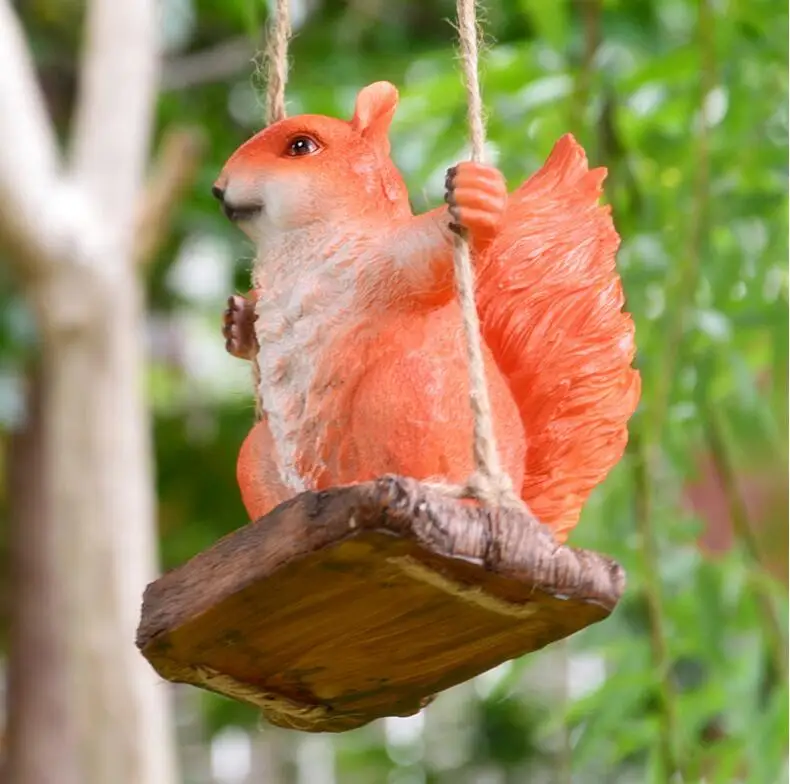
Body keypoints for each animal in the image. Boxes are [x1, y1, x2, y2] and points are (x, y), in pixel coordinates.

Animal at [214, 81, 640, 544]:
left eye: (301, 146)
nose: (218, 188)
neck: (298, 247)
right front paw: (238, 325)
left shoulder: (391, 262)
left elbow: (431, 252)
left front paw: (478, 199)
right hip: (262, 455)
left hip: (401, 396)